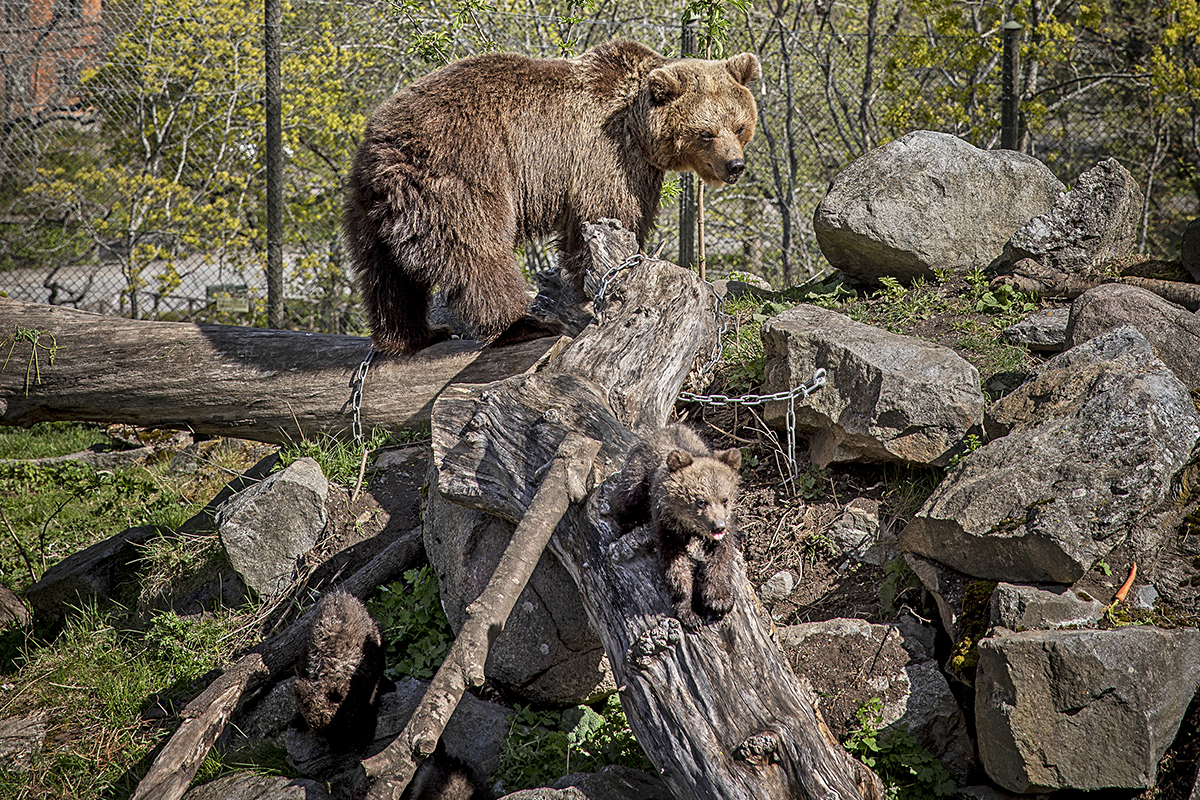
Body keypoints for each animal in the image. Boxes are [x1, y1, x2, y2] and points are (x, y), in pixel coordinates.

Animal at [343, 40, 763, 352]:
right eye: (706, 132)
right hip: (463, 169)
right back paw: (522, 323)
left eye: (740, 125)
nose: (735, 166)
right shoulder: (606, 156)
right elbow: (611, 213)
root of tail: (385, 145)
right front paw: (604, 279)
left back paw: (413, 335)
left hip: (369, 204)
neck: (639, 129)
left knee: (384, 272)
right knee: (475, 250)